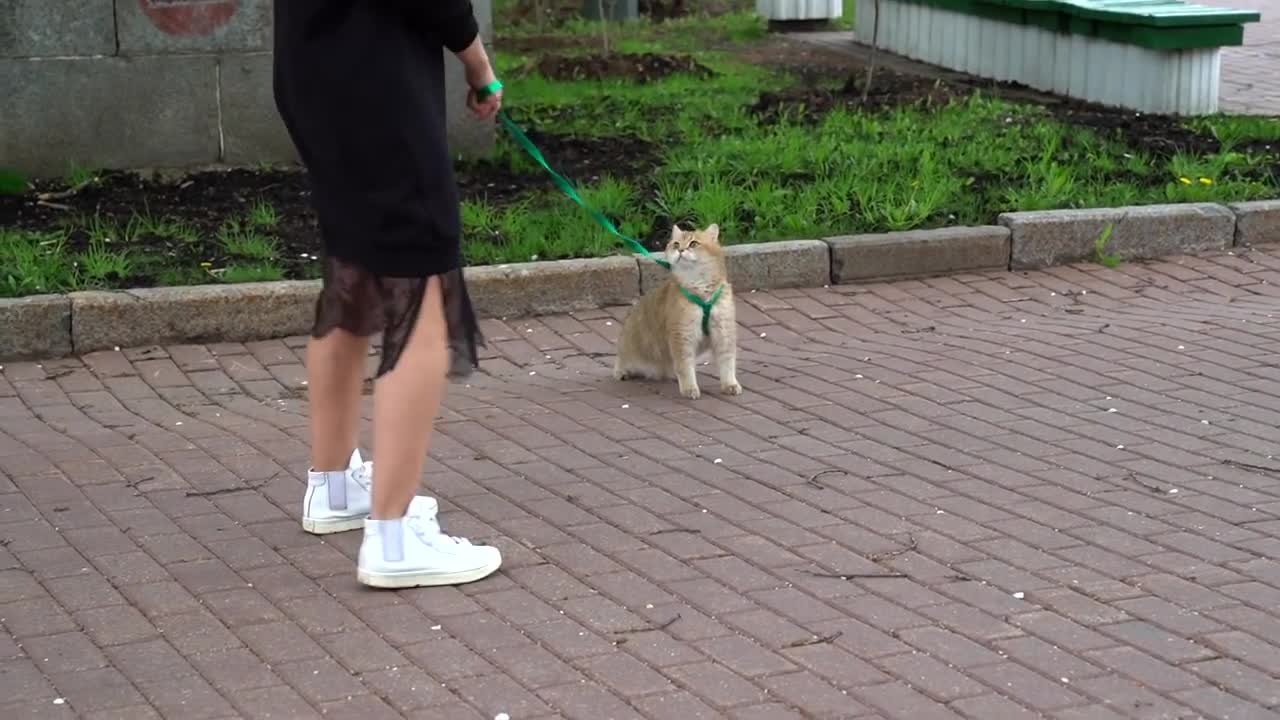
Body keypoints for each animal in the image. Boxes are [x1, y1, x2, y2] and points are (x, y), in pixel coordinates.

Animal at [614, 222, 747, 397]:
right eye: (676, 244)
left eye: (694, 243)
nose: (681, 250)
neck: (702, 292)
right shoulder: (682, 334)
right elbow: (685, 366)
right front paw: (689, 388)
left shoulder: (724, 331)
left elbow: (727, 363)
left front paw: (730, 384)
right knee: (621, 361)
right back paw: (622, 372)